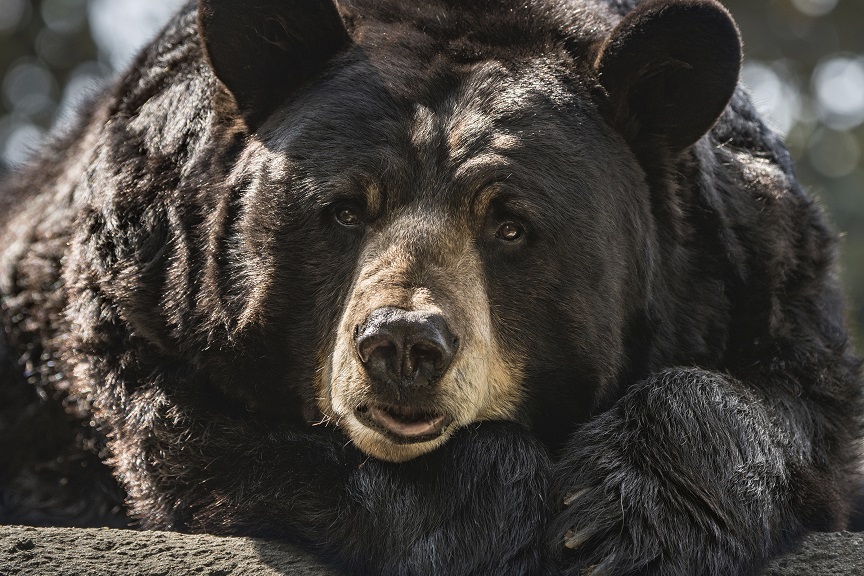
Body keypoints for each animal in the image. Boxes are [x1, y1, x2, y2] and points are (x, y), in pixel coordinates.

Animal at [1, 0, 864, 572]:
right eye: (345, 208)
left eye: (511, 224)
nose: (403, 345)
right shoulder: (150, 288)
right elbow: (210, 439)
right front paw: (495, 509)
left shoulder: (753, 269)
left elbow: (790, 403)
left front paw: (622, 523)